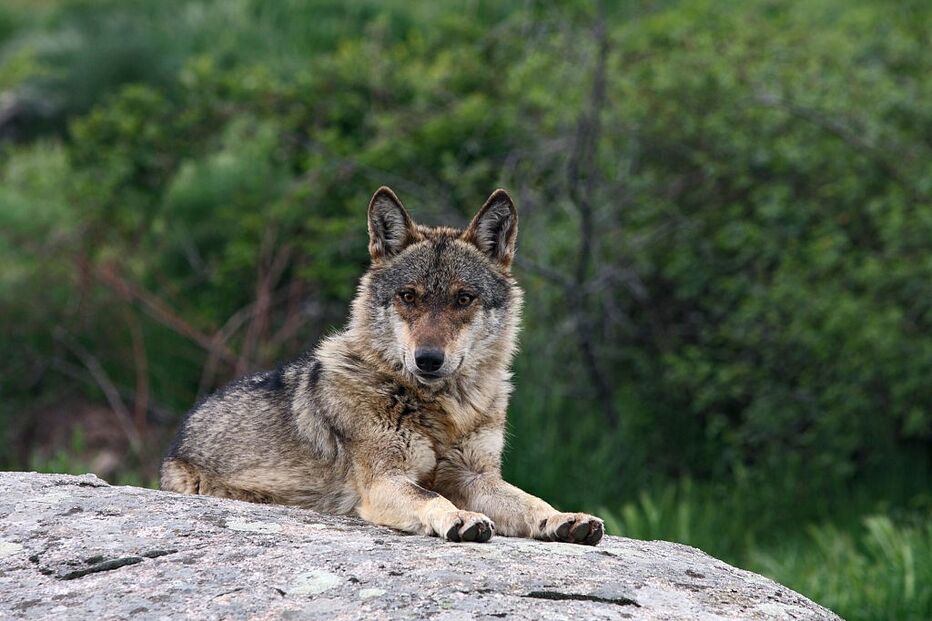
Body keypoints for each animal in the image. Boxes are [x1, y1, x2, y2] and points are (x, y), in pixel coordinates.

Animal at [161, 187, 604, 545]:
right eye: (408, 296)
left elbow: (531, 500)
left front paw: (565, 518)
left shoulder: (477, 478)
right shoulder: (384, 481)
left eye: (463, 298)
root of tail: (181, 432)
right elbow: (432, 495)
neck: (445, 410)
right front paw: (461, 518)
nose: (428, 359)